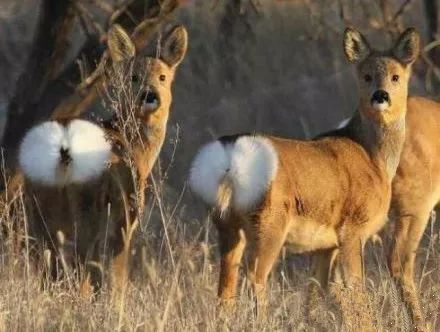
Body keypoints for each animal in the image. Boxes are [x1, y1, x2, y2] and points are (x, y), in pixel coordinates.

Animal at [15, 24, 187, 296]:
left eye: (162, 77)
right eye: (133, 77)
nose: (150, 95)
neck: (137, 149)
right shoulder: (125, 215)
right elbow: (116, 275)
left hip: (39, 208)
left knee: (48, 266)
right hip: (87, 207)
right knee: (79, 266)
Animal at [189, 28, 420, 324]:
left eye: (396, 76)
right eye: (366, 75)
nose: (381, 96)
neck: (373, 158)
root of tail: (229, 155)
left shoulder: (324, 246)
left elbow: (316, 292)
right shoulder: (352, 228)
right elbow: (355, 288)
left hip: (226, 222)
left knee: (226, 284)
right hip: (269, 221)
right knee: (255, 276)